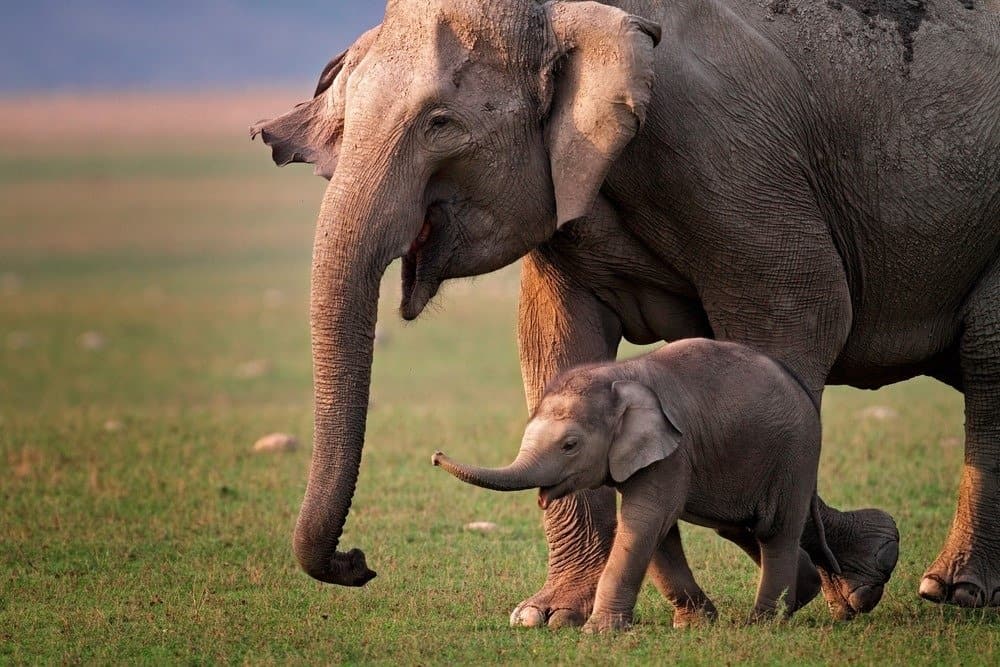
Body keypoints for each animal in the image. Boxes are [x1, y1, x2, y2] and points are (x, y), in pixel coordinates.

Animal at [433, 338, 844, 630]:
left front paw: (599, 632)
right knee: (739, 528)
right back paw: (802, 593)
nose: (435, 456)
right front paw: (694, 625)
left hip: (794, 456)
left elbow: (645, 520)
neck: (618, 376)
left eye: (570, 445)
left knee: (774, 531)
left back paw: (763, 623)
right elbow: (658, 532)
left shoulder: (673, 452)